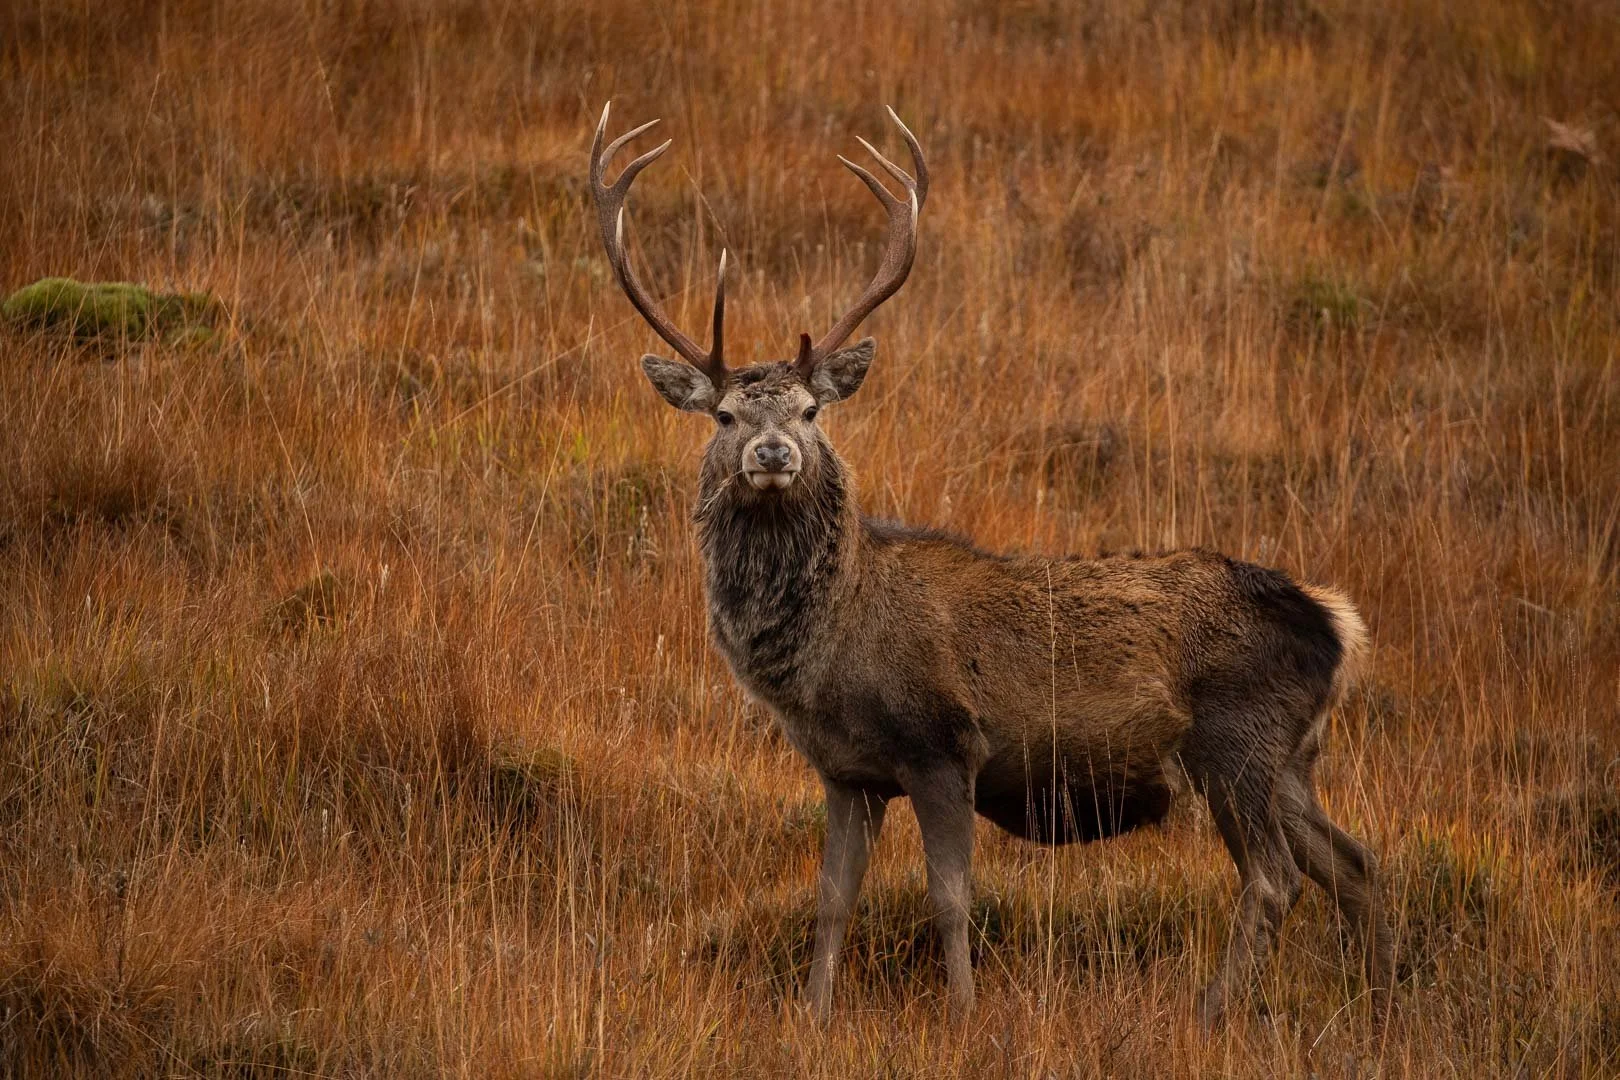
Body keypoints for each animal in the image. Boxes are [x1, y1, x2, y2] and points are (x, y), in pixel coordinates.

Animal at [588, 101, 1395, 1029]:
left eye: (811, 409)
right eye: (723, 414)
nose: (773, 452)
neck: (834, 649)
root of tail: (1336, 624)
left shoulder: (944, 744)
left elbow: (950, 897)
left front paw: (963, 1013)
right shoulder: (847, 772)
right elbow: (833, 899)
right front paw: (815, 1015)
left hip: (1238, 741)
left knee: (1273, 879)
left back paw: (1212, 1010)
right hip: (1293, 757)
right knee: (1355, 862)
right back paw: (1378, 1001)